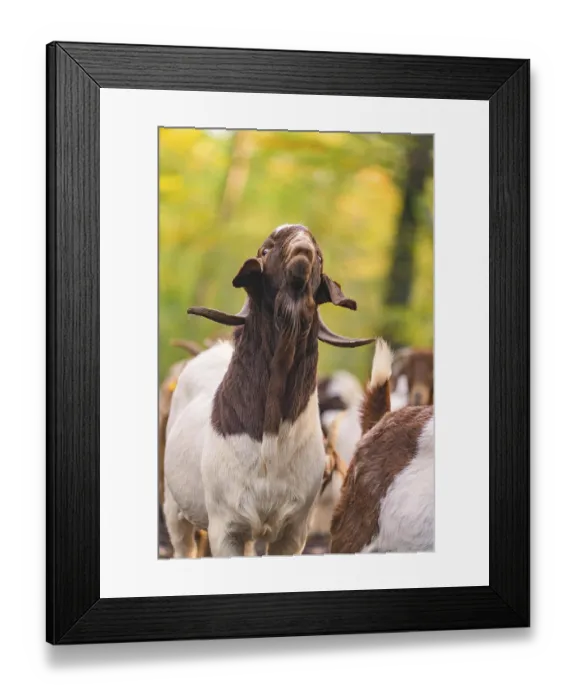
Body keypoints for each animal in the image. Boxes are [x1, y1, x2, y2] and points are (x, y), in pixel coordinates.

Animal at [163, 224, 374, 558]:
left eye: (320, 256)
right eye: (266, 249)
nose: (303, 249)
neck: (271, 441)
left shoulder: (293, 532)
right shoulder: (226, 529)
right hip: (174, 510)